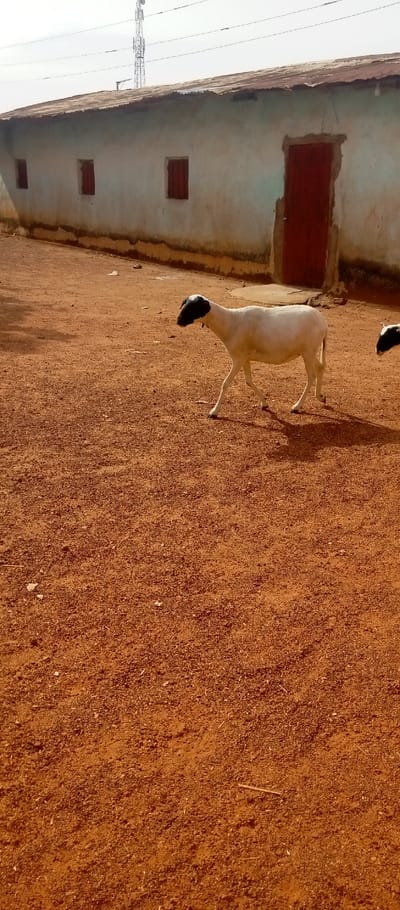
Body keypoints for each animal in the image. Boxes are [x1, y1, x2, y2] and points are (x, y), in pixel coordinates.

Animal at [177, 294, 328, 418]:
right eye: (184, 304)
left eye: (193, 308)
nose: (178, 321)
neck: (230, 322)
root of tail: (323, 322)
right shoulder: (245, 358)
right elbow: (248, 381)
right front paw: (264, 403)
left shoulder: (238, 359)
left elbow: (226, 383)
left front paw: (214, 412)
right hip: (309, 351)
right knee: (320, 367)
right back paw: (320, 397)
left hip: (308, 352)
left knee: (311, 377)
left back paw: (297, 406)